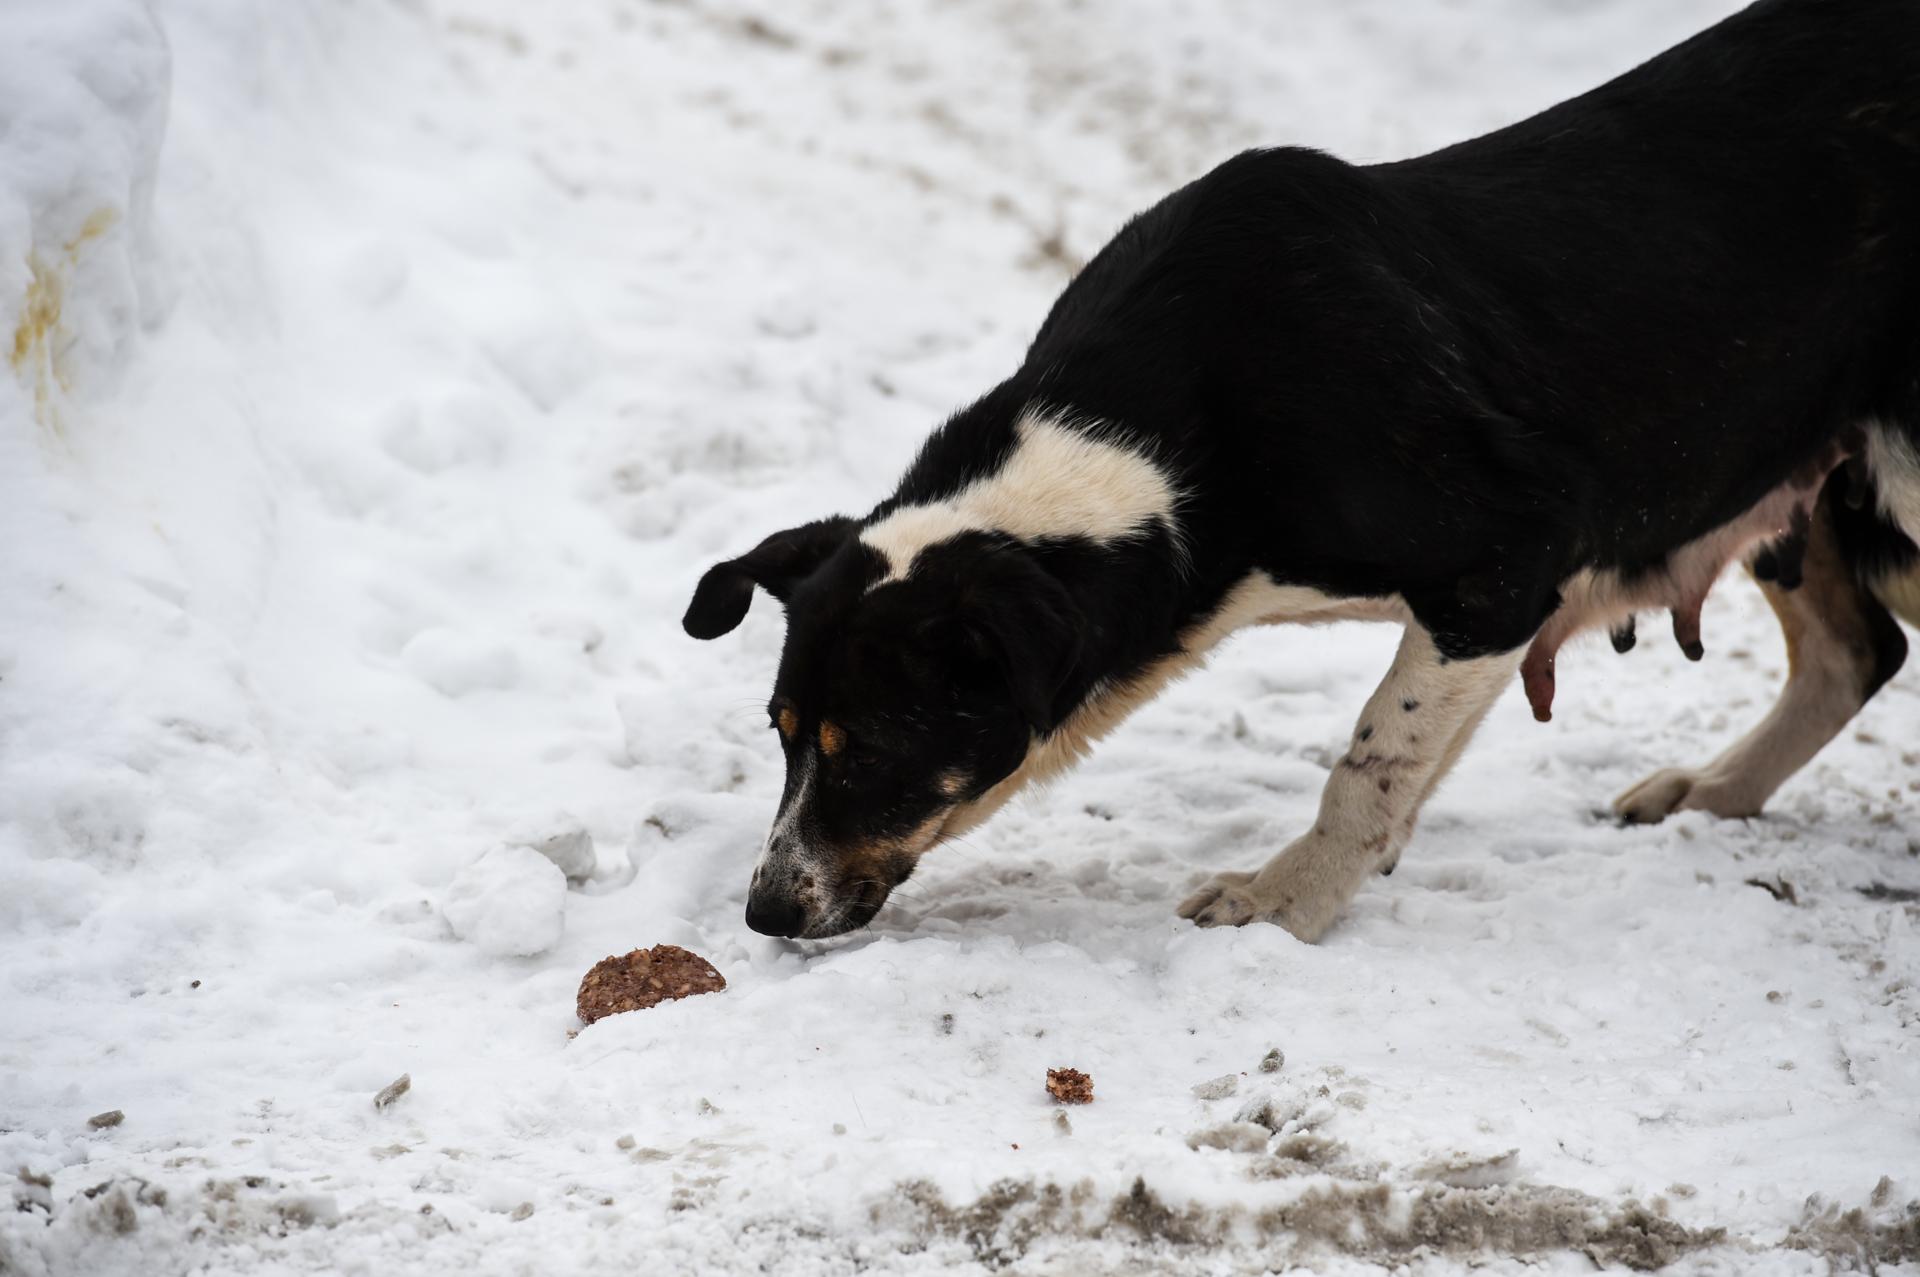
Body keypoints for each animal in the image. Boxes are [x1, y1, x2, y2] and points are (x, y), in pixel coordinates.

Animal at [691, 0, 1920, 937]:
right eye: (781, 734)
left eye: (871, 747)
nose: (764, 911)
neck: (1186, 446)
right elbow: (1412, 762)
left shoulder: (1501, 563)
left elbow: (1372, 758)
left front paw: (1283, 903)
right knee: (1857, 652)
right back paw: (1711, 794)